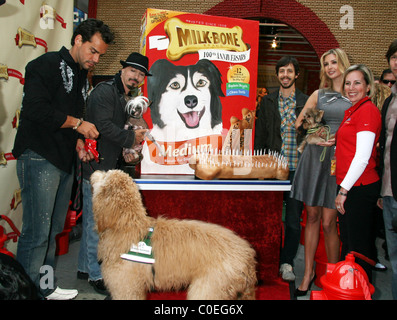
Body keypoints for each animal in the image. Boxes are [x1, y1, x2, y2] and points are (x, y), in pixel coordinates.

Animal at [90, 170, 256, 300]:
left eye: (105, 175)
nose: (94, 172)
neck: (127, 224)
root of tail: (248, 255)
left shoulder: (126, 287)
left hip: (209, 288)